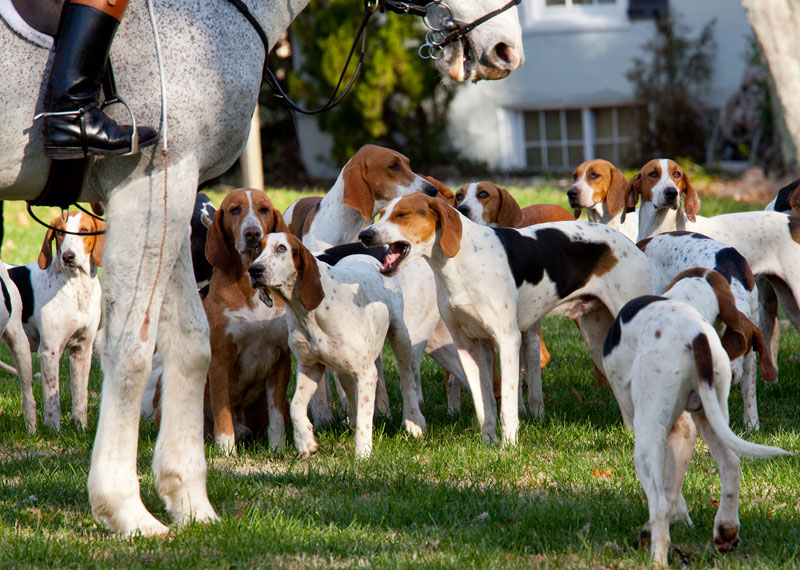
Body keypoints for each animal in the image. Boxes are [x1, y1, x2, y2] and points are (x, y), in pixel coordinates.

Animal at [202, 189, 292, 450]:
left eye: (264, 209)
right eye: (234, 210)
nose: (252, 233)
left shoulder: (281, 359)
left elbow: (276, 412)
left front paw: (278, 448)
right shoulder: (219, 360)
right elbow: (222, 410)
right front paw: (226, 450)